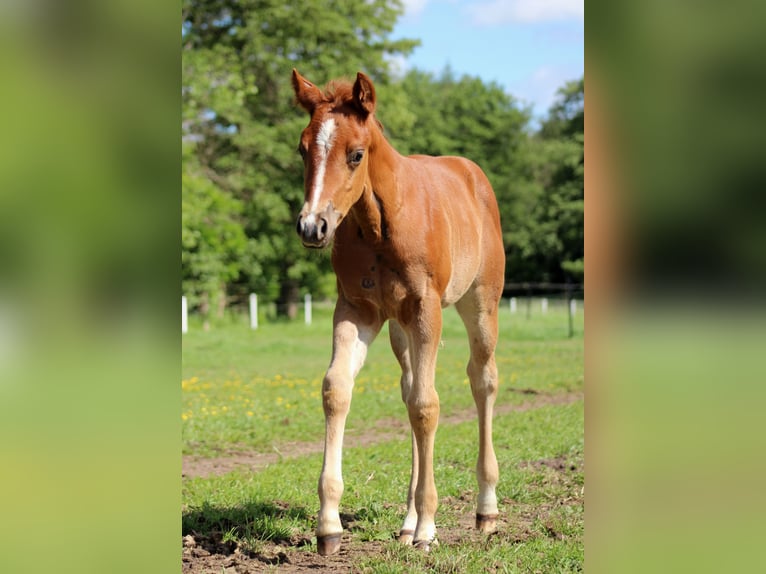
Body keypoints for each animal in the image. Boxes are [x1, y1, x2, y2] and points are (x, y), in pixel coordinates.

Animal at [291, 69, 505, 555]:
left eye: (355, 154)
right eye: (303, 148)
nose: (312, 227)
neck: (378, 227)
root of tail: (474, 174)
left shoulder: (426, 309)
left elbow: (428, 406)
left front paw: (428, 528)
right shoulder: (357, 310)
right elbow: (336, 389)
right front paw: (328, 525)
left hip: (480, 302)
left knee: (482, 379)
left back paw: (485, 510)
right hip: (399, 329)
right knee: (409, 389)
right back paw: (407, 522)